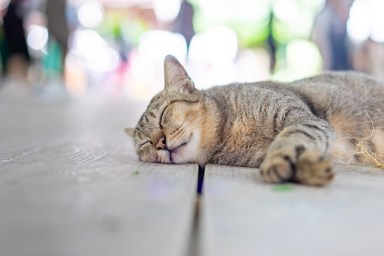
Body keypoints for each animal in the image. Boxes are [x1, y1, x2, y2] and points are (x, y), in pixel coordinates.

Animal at [128, 55, 384, 186]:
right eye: (145, 144)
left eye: (163, 116)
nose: (159, 143)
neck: (230, 130)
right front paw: (310, 168)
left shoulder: (299, 117)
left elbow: (292, 137)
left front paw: (285, 160)